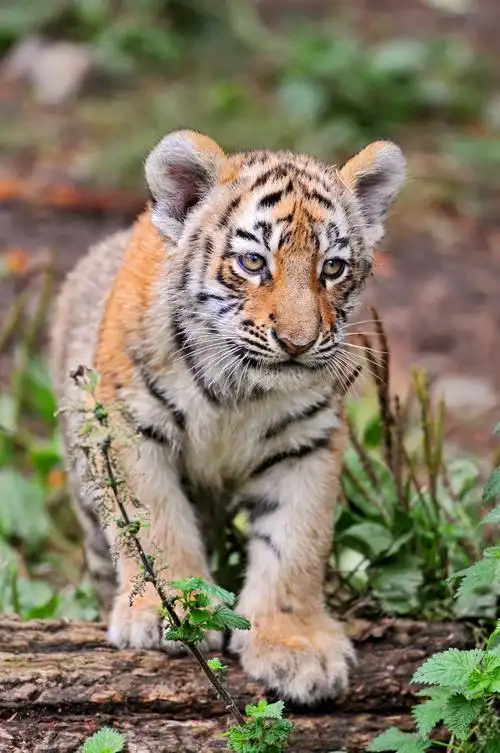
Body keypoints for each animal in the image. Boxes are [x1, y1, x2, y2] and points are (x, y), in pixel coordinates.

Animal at [50, 129, 405, 705]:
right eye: (254, 263)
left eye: (332, 268)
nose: (298, 343)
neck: (238, 388)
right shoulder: (132, 430)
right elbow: (155, 528)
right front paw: (168, 613)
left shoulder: (306, 444)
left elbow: (296, 543)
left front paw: (295, 646)